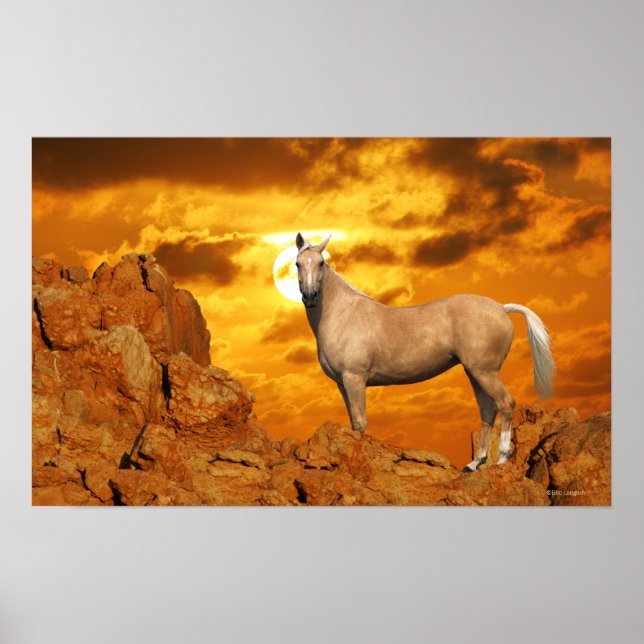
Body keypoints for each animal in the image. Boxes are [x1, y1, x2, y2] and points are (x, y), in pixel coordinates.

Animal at [293, 232, 555, 472]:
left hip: (486, 372)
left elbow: (359, 423)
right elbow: (352, 423)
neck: (343, 314)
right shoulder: (342, 384)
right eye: (298, 263)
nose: (310, 297)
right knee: (488, 410)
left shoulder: (354, 378)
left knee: (505, 403)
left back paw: (501, 459)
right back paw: (474, 463)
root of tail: (501, 308)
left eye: (321, 263)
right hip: (476, 373)